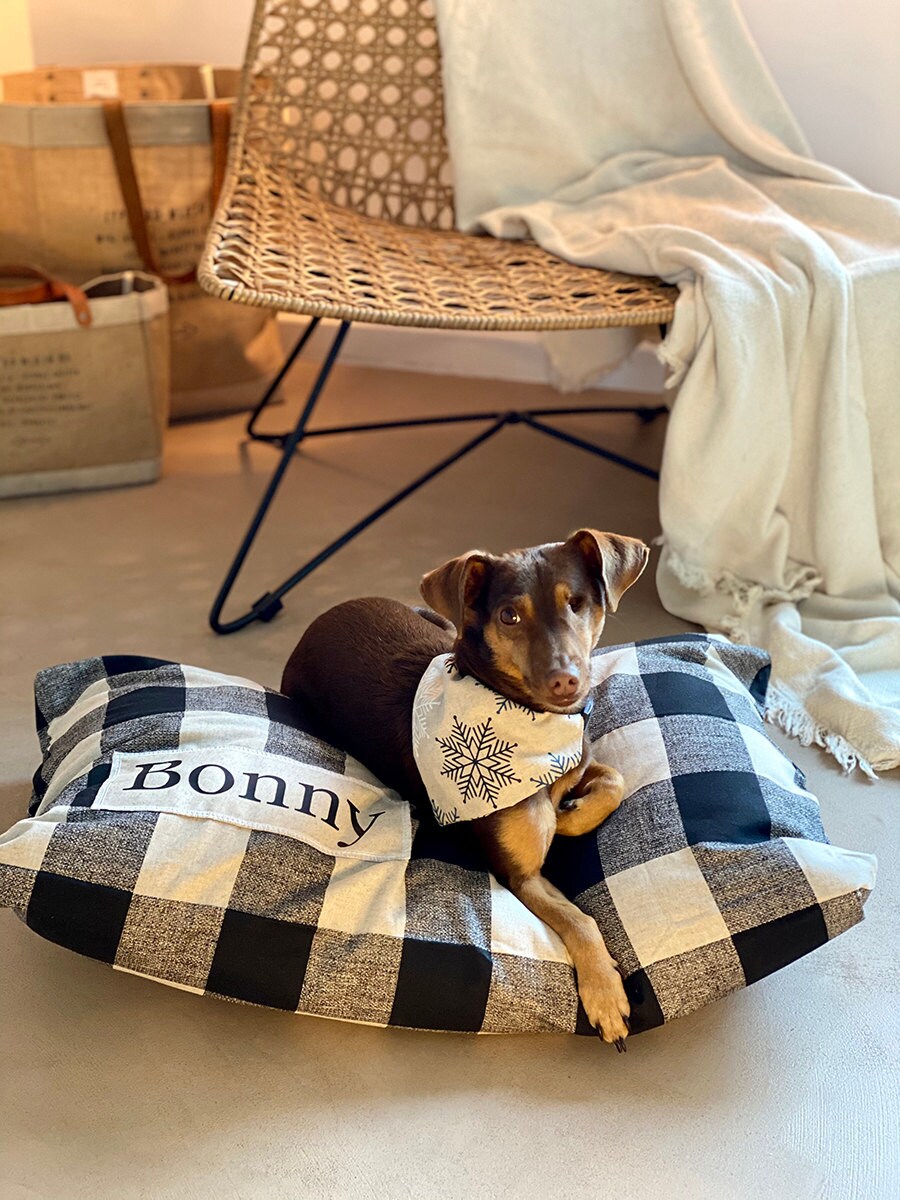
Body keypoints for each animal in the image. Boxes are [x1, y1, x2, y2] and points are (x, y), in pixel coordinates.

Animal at [282, 530, 648, 1046]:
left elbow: (615, 779)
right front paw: (606, 996)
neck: (535, 728)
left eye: (577, 604)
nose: (566, 682)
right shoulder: (520, 876)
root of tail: (320, 619)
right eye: (509, 616)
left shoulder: (579, 761)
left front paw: (570, 816)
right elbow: (581, 919)